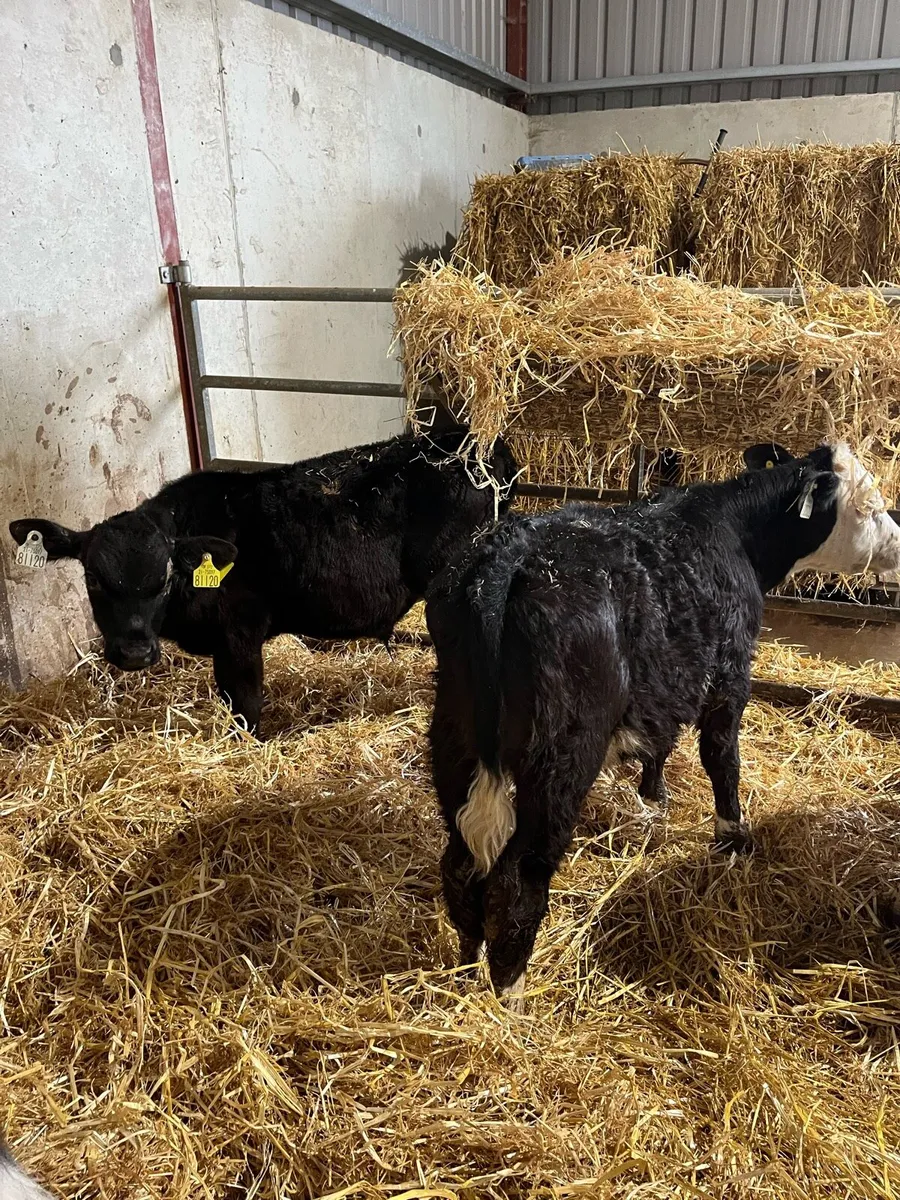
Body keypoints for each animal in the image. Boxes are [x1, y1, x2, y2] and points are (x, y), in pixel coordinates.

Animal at [10, 429, 517, 733]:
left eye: (166, 575)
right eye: (93, 577)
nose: (134, 652)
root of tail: (473, 444)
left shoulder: (240, 635)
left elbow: (247, 708)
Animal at [425, 441, 900, 1004]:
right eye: (869, 505)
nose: (898, 543)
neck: (734, 530)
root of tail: (507, 556)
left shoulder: (670, 679)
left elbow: (661, 742)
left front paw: (654, 796)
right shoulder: (728, 674)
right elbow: (722, 759)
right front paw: (732, 836)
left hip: (455, 735)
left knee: (460, 865)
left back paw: (464, 969)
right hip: (561, 752)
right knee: (517, 878)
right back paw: (511, 993)